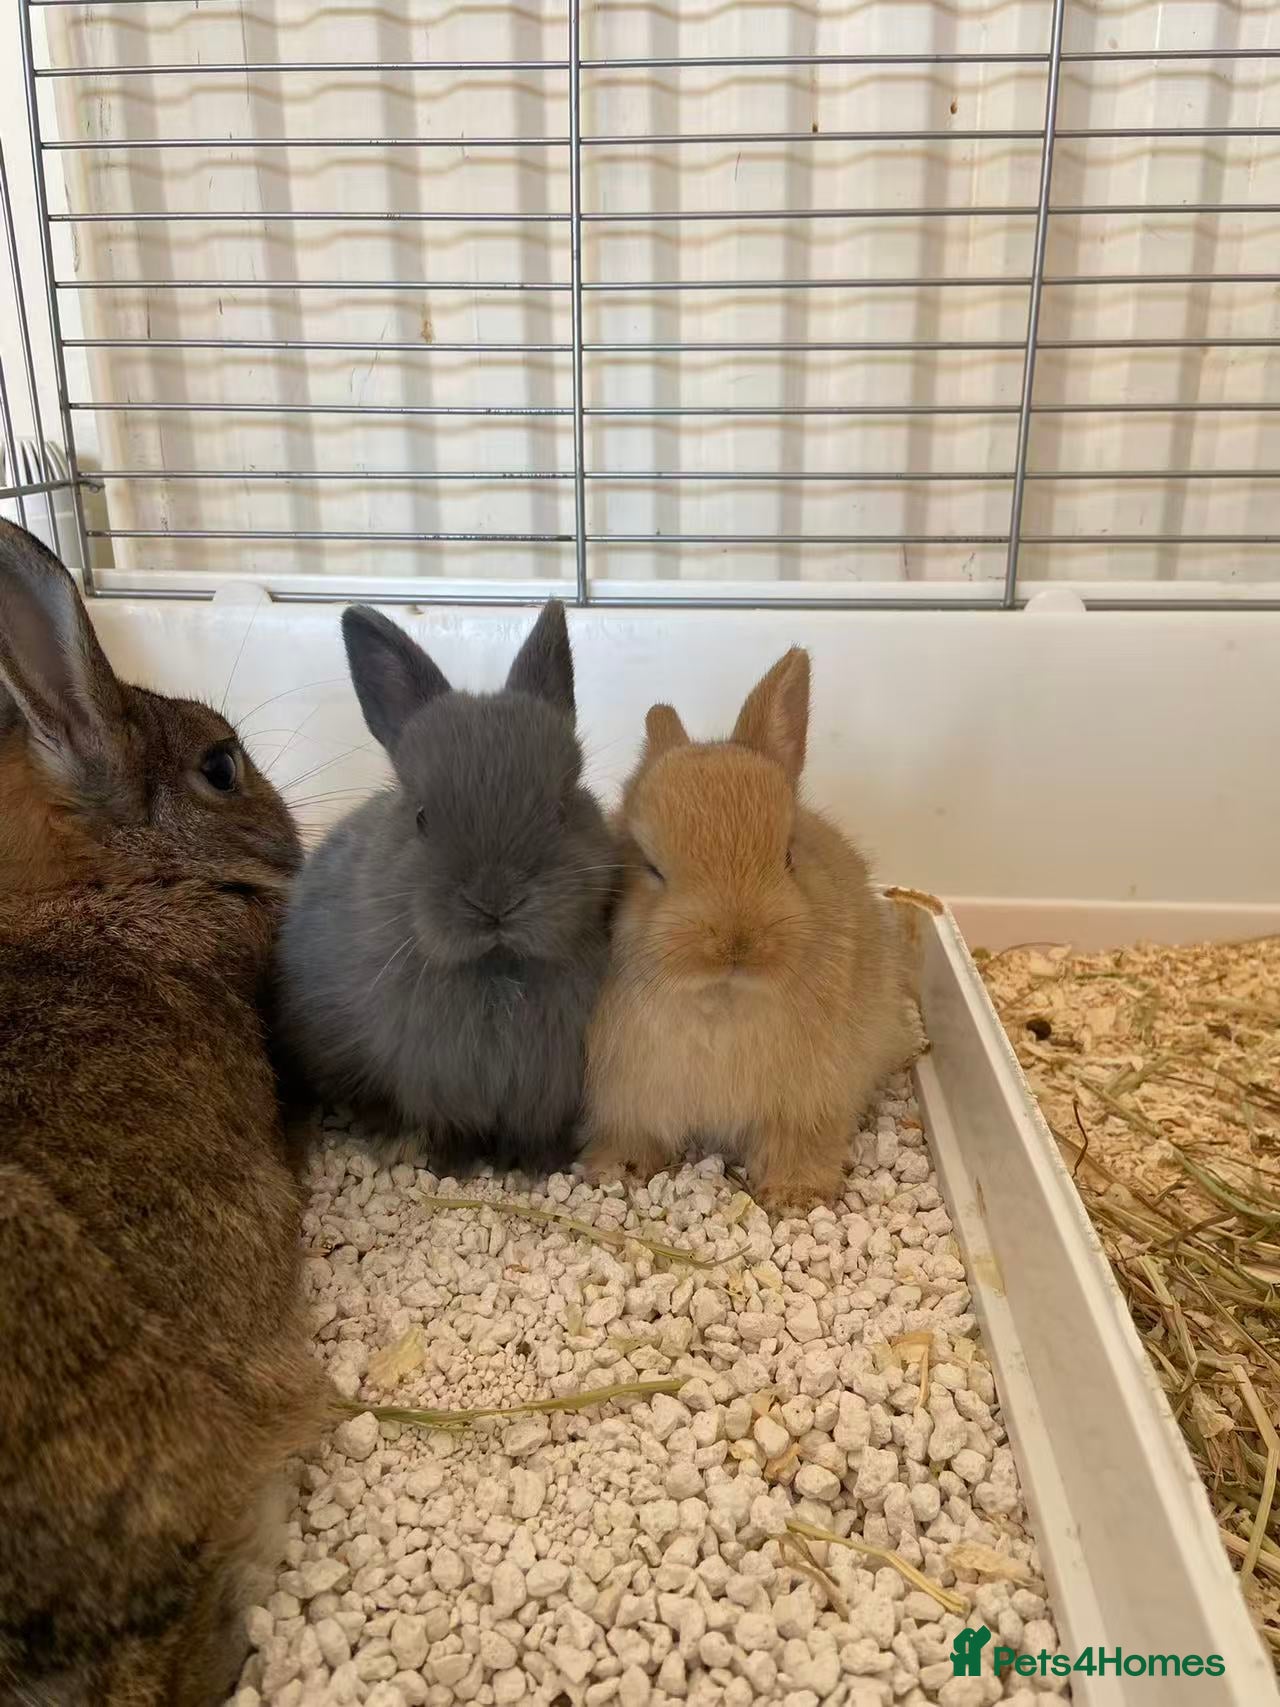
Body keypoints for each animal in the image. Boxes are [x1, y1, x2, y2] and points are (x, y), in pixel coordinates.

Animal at [273, 599, 616, 1175]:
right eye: (421, 817)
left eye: (562, 808)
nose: (496, 900)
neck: (496, 969)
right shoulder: (438, 1084)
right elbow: (452, 1127)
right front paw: (450, 1166)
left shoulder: (546, 1090)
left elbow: (536, 1132)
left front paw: (539, 1168)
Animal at [581, 645, 924, 1208]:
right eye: (650, 868)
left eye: (787, 856)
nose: (736, 942)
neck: (723, 996)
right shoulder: (624, 1098)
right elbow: (633, 1133)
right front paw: (616, 1171)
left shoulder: (811, 1096)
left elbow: (799, 1142)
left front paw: (795, 1193)